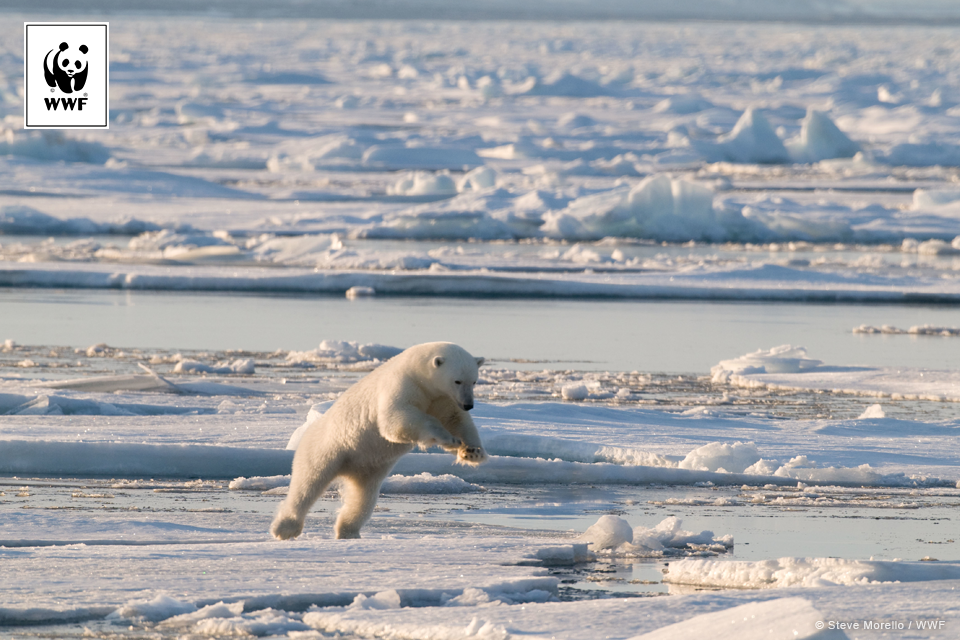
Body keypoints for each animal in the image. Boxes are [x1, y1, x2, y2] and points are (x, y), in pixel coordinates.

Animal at [274, 340, 492, 540]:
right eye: (457, 381)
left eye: (474, 381)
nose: (469, 404)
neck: (419, 373)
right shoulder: (403, 385)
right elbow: (396, 419)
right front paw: (449, 439)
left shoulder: (443, 399)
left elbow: (458, 421)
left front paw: (472, 452)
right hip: (327, 448)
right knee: (308, 484)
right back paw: (285, 528)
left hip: (369, 469)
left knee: (362, 499)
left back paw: (348, 531)